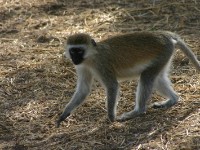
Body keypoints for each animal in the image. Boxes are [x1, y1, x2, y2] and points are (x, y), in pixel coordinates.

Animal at [55, 31, 199, 127]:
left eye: (79, 51)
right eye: (73, 51)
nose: (74, 58)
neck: (91, 57)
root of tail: (164, 35)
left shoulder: (102, 65)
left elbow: (112, 86)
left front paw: (111, 117)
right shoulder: (82, 67)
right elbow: (83, 90)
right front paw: (64, 113)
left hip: (164, 52)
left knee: (146, 77)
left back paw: (138, 111)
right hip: (164, 57)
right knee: (157, 78)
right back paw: (173, 99)